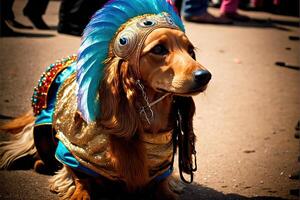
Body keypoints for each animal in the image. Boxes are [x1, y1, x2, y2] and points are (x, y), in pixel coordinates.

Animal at [0, 0, 211, 199]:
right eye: (159, 49)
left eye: (190, 51)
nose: (205, 76)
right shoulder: (71, 151)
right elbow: (79, 177)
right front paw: (79, 192)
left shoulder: (161, 167)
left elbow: (163, 187)